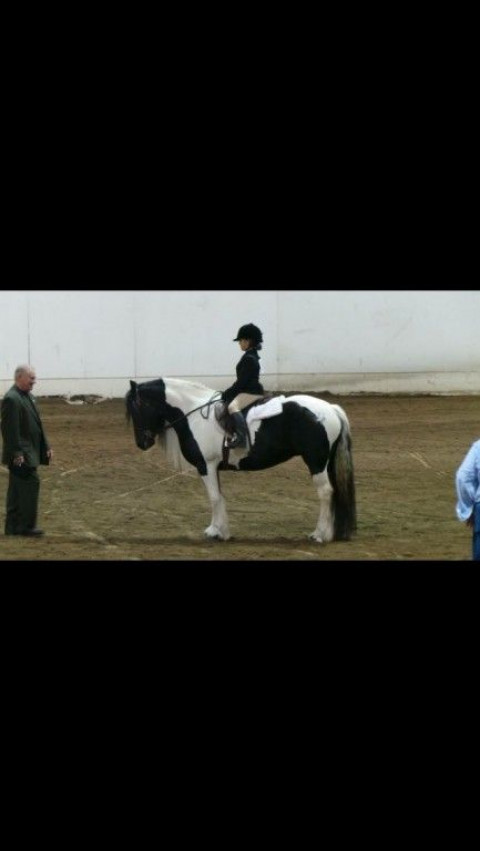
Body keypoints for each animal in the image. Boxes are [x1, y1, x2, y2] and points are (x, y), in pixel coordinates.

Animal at [124, 376, 356, 544]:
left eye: (137, 409)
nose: (141, 443)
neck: (193, 414)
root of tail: (331, 409)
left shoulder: (206, 465)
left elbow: (214, 497)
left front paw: (215, 532)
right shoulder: (213, 467)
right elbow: (219, 496)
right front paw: (220, 530)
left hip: (316, 461)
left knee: (325, 492)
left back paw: (319, 534)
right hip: (326, 462)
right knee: (333, 492)